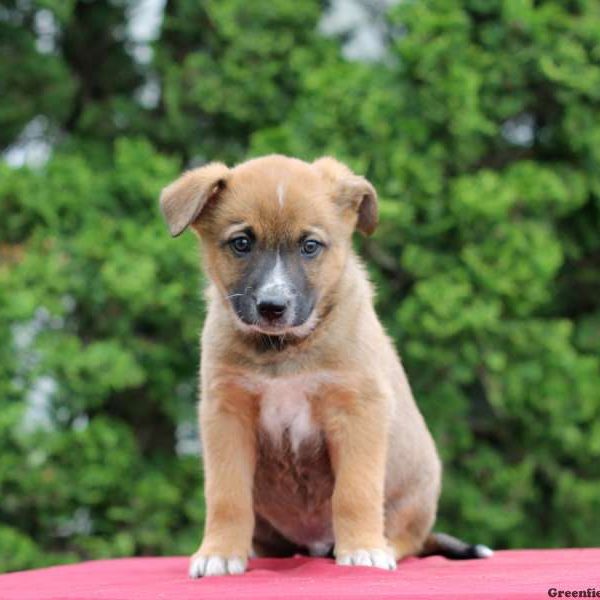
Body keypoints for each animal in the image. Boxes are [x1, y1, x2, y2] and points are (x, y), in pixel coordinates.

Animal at [161, 155, 492, 576]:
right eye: (241, 243)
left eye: (309, 246)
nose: (272, 307)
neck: (283, 351)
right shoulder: (226, 412)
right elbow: (226, 494)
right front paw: (220, 552)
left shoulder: (358, 409)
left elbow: (355, 491)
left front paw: (363, 548)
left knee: (409, 539)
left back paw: (381, 543)